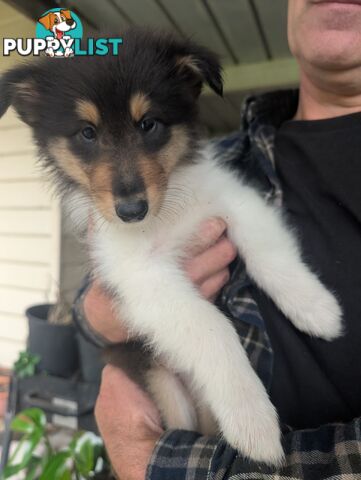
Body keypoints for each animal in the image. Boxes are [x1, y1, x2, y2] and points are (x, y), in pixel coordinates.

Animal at [0, 29, 342, 464]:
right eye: (87, 133)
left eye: (148, 124)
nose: (131, 211)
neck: (164, 214)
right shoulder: (139, 275)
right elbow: (210, 325)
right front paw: (253, 420)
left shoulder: (234, 200)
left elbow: (270, 253)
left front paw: (318, 310)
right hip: (164, 386)